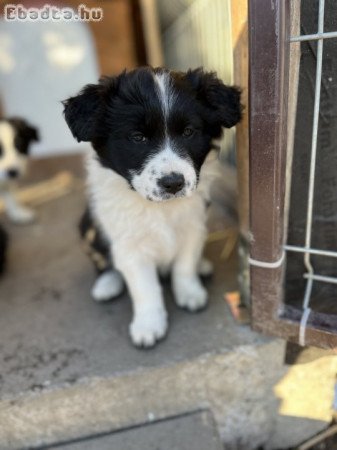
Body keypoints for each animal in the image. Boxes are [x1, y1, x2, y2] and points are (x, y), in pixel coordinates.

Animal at [63, 67, 242, 348]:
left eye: (188, 132)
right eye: (138, 137)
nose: (174, 183)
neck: (159, 208)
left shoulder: (193, 227)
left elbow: (184, 265)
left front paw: (189, 292)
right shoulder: (129, 246)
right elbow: (145, 288)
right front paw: (149, 325)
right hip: (87, 228)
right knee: (103, 262)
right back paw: (107, 284)